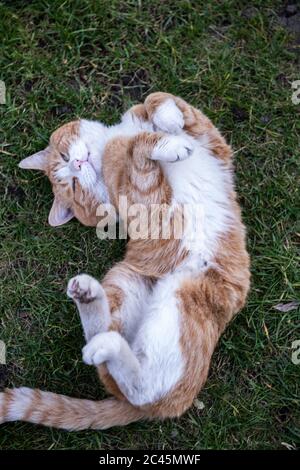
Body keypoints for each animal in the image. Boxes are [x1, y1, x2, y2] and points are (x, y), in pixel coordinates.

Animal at [0, 92, 250, 430]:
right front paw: (154, 142)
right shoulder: (139, 196)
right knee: (137, 386)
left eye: (64, 158)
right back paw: (97, 327)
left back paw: (91, 305)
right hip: (159, 293)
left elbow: (159, 100)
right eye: (74, 185)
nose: (78, 162)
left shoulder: (211, 139)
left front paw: (167, 120)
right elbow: (135, 148)